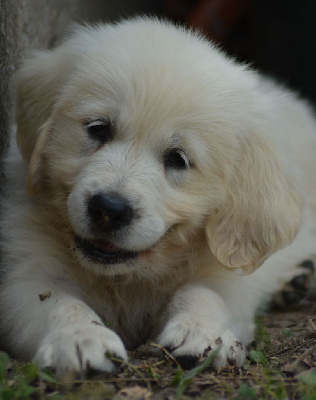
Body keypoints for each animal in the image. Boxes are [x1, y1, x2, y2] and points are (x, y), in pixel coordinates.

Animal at [0, 17, 316, 376]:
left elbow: (204, 291)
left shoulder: (226, 272)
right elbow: (54, 300)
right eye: (98, 129)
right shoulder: (25, 270)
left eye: (178, 159)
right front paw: (79, 338)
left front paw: (201, 331)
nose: (109, 209)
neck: (127, 277)